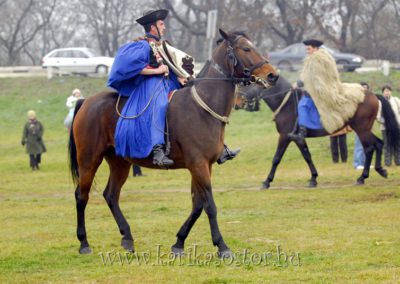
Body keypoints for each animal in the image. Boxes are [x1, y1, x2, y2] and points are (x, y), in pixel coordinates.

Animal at [69, 29, 278, 258]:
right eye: (246, 48)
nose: (273, 75)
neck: (203, 108)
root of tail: (86, 102)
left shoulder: (204, 166)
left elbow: (197, 205)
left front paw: (179, 242)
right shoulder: (198, 165)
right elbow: (210, 206)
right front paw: (222, 246)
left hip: (120, 163)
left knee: (111, 195)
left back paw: (127, 238)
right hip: (89, 160)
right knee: (81, 196)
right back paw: (84, 242)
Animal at [239, 76, 398, 189]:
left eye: (245, 84)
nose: (238, 102)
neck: (286, 103)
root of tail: (372, 95)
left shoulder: (285, 136)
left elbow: (277, 158)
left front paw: (267, 182)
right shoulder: (297, 138)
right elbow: (307, 156)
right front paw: (313, 178)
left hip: (361, 129)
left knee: (370, 148)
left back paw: (362, 177)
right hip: (364, 129)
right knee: (379, 144)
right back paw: (379, 170)